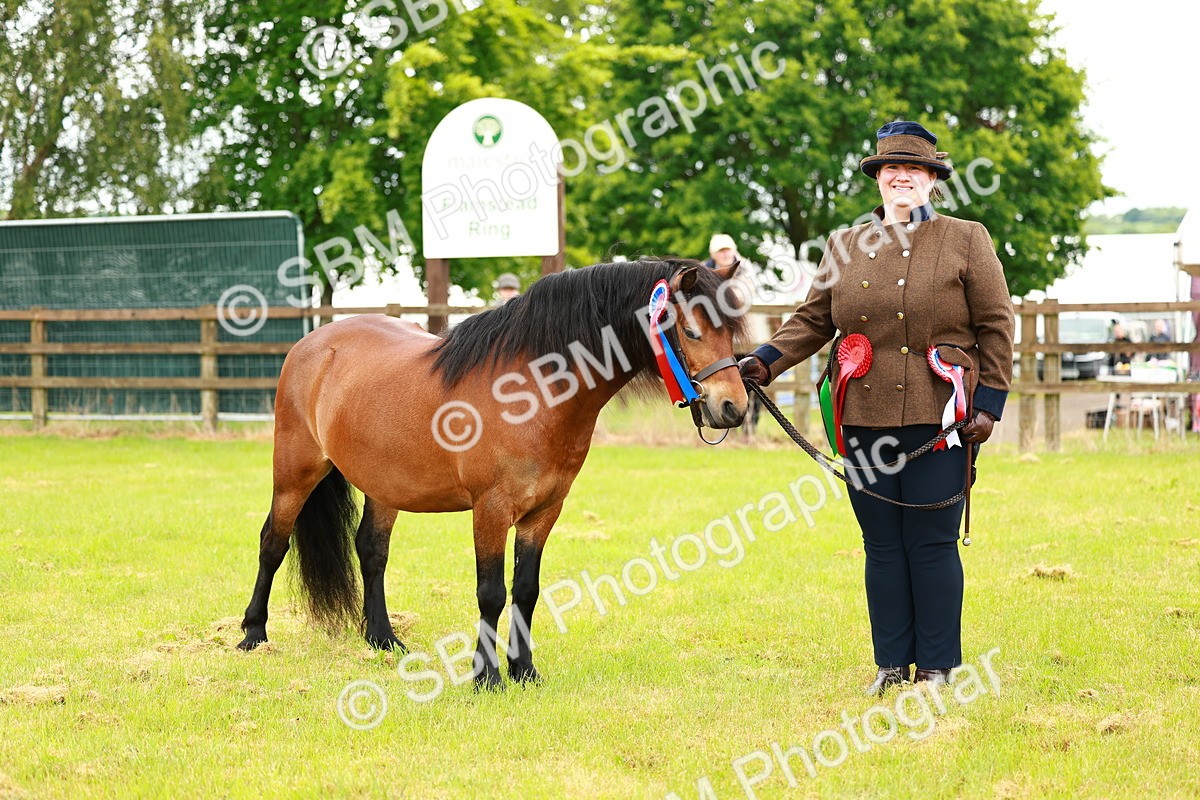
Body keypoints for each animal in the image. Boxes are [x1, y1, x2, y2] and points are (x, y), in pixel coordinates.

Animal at [235, 258, 749, 689]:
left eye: (730, 332)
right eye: (690, 330)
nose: (734, 407)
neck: (532, 391)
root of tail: (313, 344)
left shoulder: (544, 511)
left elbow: (526, 590)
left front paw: (524, 670)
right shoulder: (491, 509)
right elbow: (491, 593)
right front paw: (487, 677)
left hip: (385, 485)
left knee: (372, 551)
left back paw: (382, 638)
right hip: (295, 473)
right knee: (273, 542)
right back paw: (253, 634)